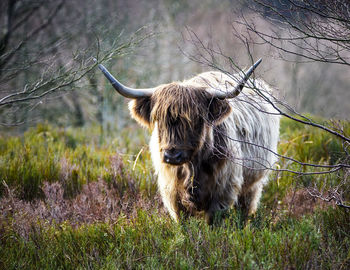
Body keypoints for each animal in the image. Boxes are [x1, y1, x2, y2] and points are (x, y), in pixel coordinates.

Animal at [98, 59, 278, 226]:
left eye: (196, 119)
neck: (192, 167)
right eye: (159, 119)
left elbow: (214, 223)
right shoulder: (172, 194)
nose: (172, 156)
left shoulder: (222, 192)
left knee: (245, 209)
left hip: (253, 182)